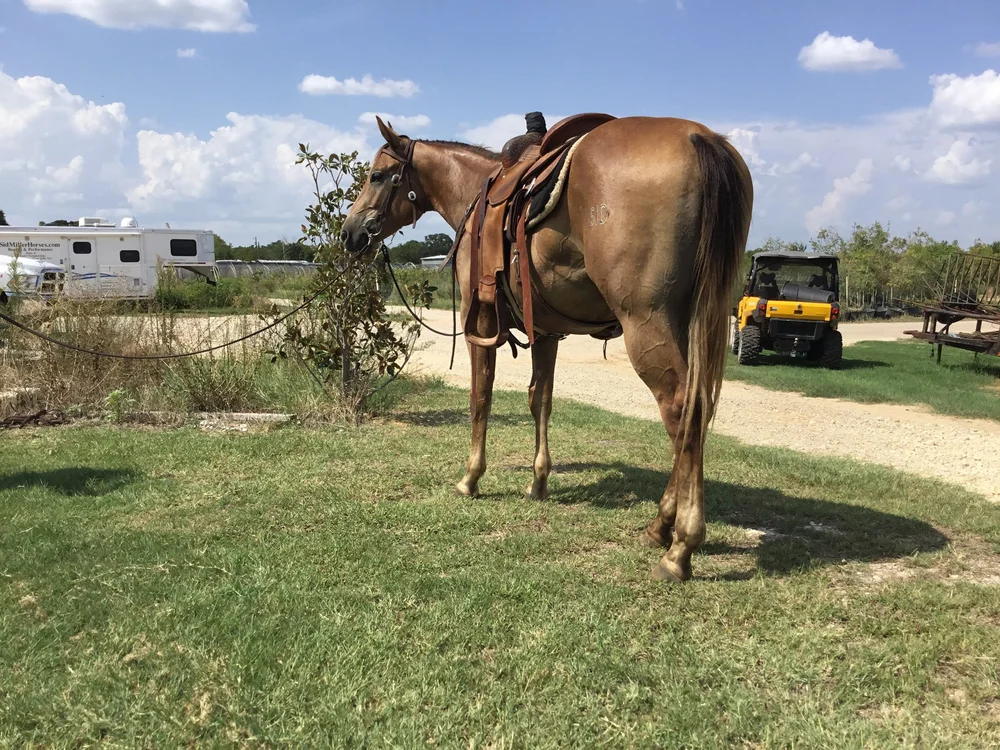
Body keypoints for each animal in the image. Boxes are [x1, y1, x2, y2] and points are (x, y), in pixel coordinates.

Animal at [342, 115, 753, 582]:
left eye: (376, 175)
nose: (349, 233)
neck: (474, 192)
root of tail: (699, 138)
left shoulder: (480, 324)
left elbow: (481, 398)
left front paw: (470, 478)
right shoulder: (546, 332)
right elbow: (541, 400)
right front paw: (538, 482)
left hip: (647, 322)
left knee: (682, 408)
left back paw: (680, 546)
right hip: (689, 320)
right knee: (693, 413)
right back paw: (659, 526)